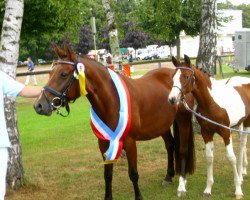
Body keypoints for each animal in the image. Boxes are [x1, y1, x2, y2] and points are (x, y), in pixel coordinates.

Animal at [32, 45, 195, 200]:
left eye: (63, 74)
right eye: (49, 74)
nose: (39, 105)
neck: (112, 101)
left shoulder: (130, 142)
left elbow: (133, 173)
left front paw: (139, 196)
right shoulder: (104, 143)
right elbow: (108, 175)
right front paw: (108, 196)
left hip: (183, 120)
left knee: (182, 148)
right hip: (162, 126)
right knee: (170, 145)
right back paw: (168, 176)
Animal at [168, 54, 250, 200]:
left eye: (187, 77)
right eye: (173, 77)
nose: (172, 99)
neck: (211, 103)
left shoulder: (226, 132)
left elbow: (231, 158)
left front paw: (238, 190)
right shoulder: (206, 133)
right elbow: (209, 157)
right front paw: (208, 189)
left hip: (247, 122)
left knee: (242, 145)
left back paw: (240, 176)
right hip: (239, 123)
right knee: (242, 144)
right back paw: (241, 174)